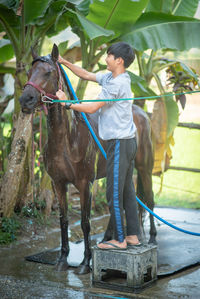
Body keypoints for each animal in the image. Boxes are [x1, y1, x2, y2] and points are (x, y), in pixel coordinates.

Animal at [18, 43, 156, 276]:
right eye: (28, 72)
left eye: (48, 72)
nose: (25, 100)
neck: (68, 140)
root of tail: (141, 112)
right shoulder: (58, 184)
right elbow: (64, 221)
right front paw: (62, 259)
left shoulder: (85, 184)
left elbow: (85, 222)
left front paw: (85, 262)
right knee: (121, 202)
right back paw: (110, 238)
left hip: (144, 168)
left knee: (150, 200)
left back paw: (152, 238)